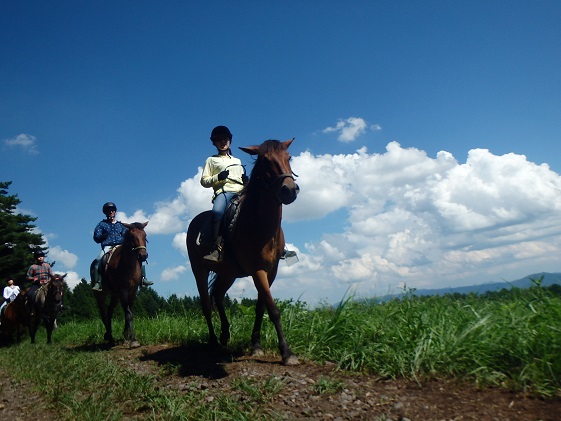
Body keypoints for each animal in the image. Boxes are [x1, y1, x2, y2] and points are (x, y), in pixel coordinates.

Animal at [89, 220, 148, 348]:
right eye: (132, 237)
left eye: (145, 235)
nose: (143, 255)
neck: (128, 265)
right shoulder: (123, 291)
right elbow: (128, 313)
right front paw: (133, 340)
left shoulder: (133, 291)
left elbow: (128, 312)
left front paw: (126, 335)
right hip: (100, 295)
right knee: (103, 313)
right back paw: (109, 337)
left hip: (114, 295)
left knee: (109, 311)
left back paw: (109, 335)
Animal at [186, 138, 300, 364]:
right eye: (265, 160)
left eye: (288, 157)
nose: (289, 190)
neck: (260, 223)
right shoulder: (257, 270)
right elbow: (273, 309)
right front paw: (287, 352)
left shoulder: (271, 271)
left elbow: (261, 308)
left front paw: (256, 345)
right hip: (199, 270)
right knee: (206, 304)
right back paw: (214, 341)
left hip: (228, 273)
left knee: (218, 296)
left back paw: (225, 335)